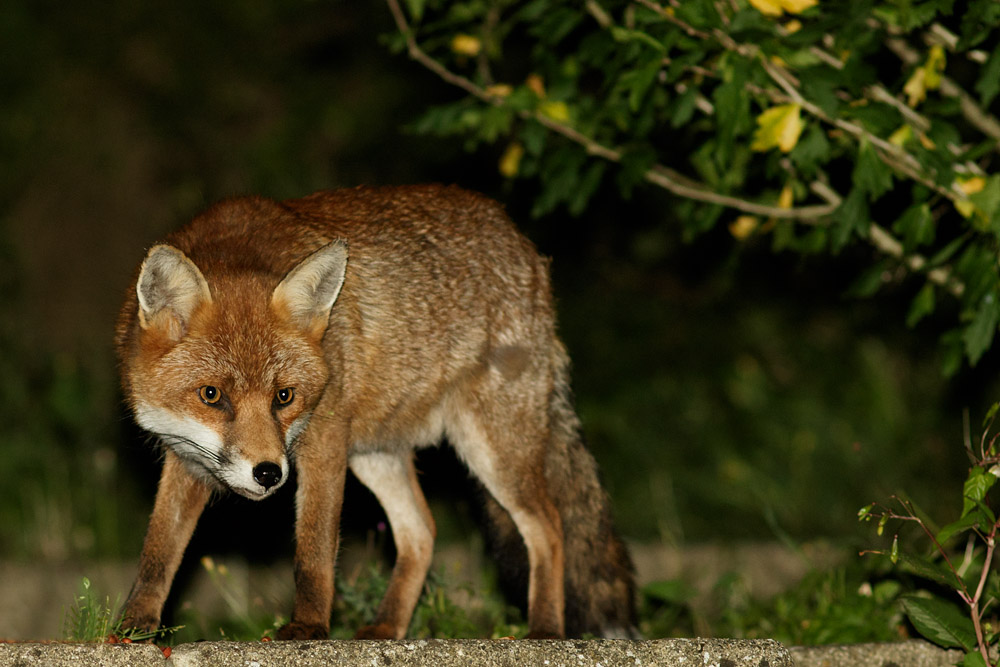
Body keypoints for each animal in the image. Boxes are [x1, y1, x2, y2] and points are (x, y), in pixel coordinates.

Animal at [114, 184, 636, 640]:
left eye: (284, 396)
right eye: (211, 395)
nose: (268, 474)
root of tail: (527, 249)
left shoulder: (324, 437)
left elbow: (314, 549)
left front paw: (309, 628)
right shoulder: (186, 458)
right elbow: (158, 553)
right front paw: (132, 630)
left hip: (493, 450)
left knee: (549, 526)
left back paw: (545, 629)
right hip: (377, 455)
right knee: (422, 532)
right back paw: (388, 628)